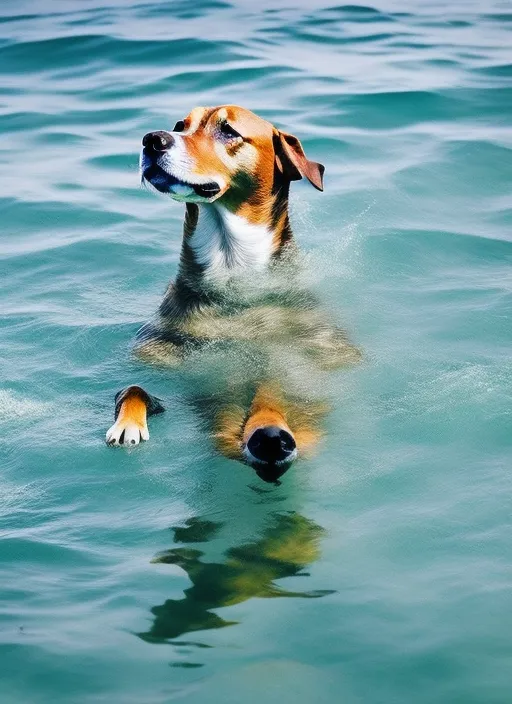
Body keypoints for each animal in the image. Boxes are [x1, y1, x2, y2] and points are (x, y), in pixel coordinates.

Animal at [105, 104, 360, 484]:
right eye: (180, 125)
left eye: (229, 131)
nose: (153, 139)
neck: (232, 274)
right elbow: (135, 388)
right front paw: (128, 424)